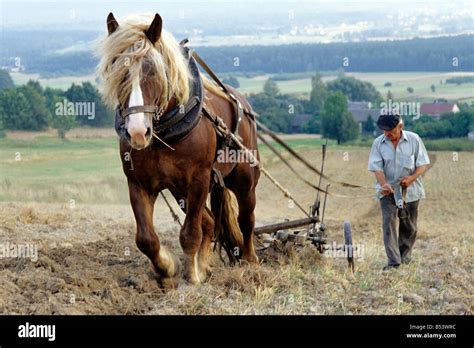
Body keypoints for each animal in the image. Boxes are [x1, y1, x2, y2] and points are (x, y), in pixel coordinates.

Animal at [98, 12, 262, 286]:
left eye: (153, 70)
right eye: (117, 69)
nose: (137, 132)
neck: (164, 132)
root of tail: (242, 102)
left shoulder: (199, 179)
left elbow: (190, 233)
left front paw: (191, 278)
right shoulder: (138, 184)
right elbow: (146, 239)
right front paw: (167, 269)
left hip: (243, 179)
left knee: (246, 219)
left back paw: (250, 262)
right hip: (180, 191)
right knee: (210, 221)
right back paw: (205, 266)